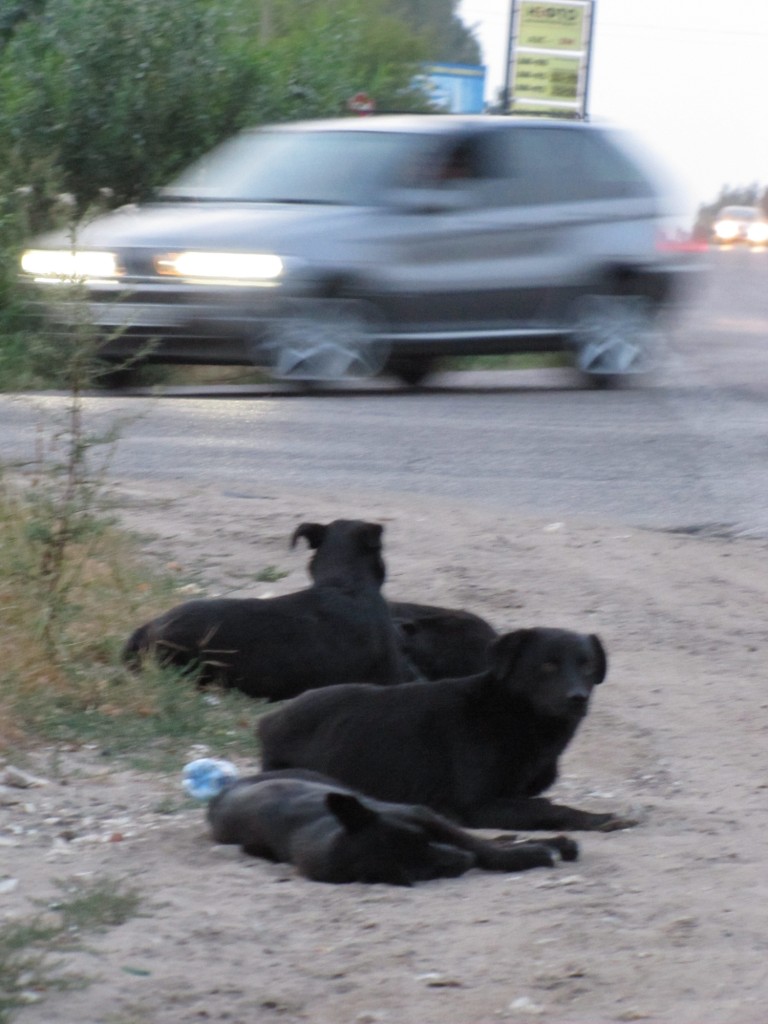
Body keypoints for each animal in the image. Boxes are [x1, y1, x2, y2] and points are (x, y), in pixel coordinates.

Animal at [205, 770, 577, 884]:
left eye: (420, 840)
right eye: (415, 871)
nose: (461, 862)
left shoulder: (424, 817)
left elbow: (481, 846)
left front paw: (528, 852)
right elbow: (480, 849)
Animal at [259, 622, 638, 831]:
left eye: (587, 665)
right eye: (548, 665)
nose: (578, 699)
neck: (511, 713)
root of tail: (270, 721)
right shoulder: (478, 805)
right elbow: (548, 808)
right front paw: (598, 818)